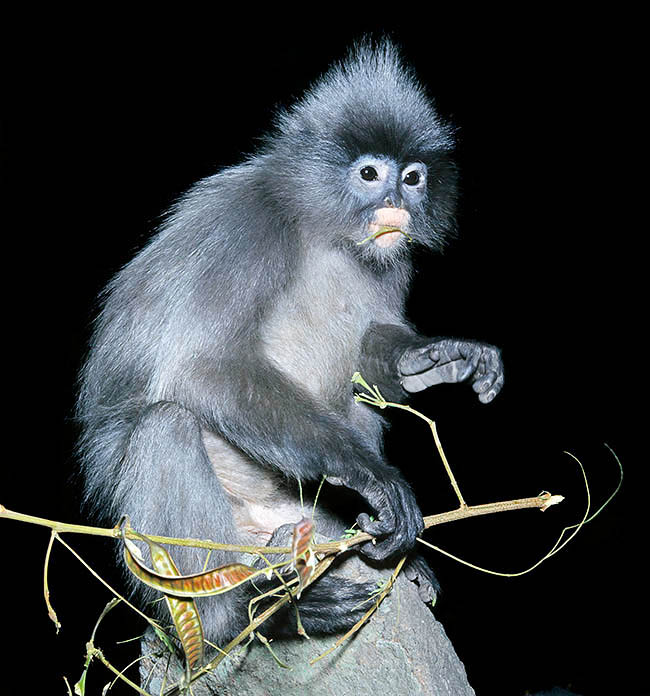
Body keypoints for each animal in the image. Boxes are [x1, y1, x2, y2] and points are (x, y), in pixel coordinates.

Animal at [74, 40, 502, 652]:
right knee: (166, 425)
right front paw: (372, 474)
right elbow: (203, 369)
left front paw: (438, 358)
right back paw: (247, 617)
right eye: (369, 174)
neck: (325, 235)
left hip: (299, 519)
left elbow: (371, 357)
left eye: (413, 177)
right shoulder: (240, 229)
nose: (397, 201)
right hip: (169, 549)